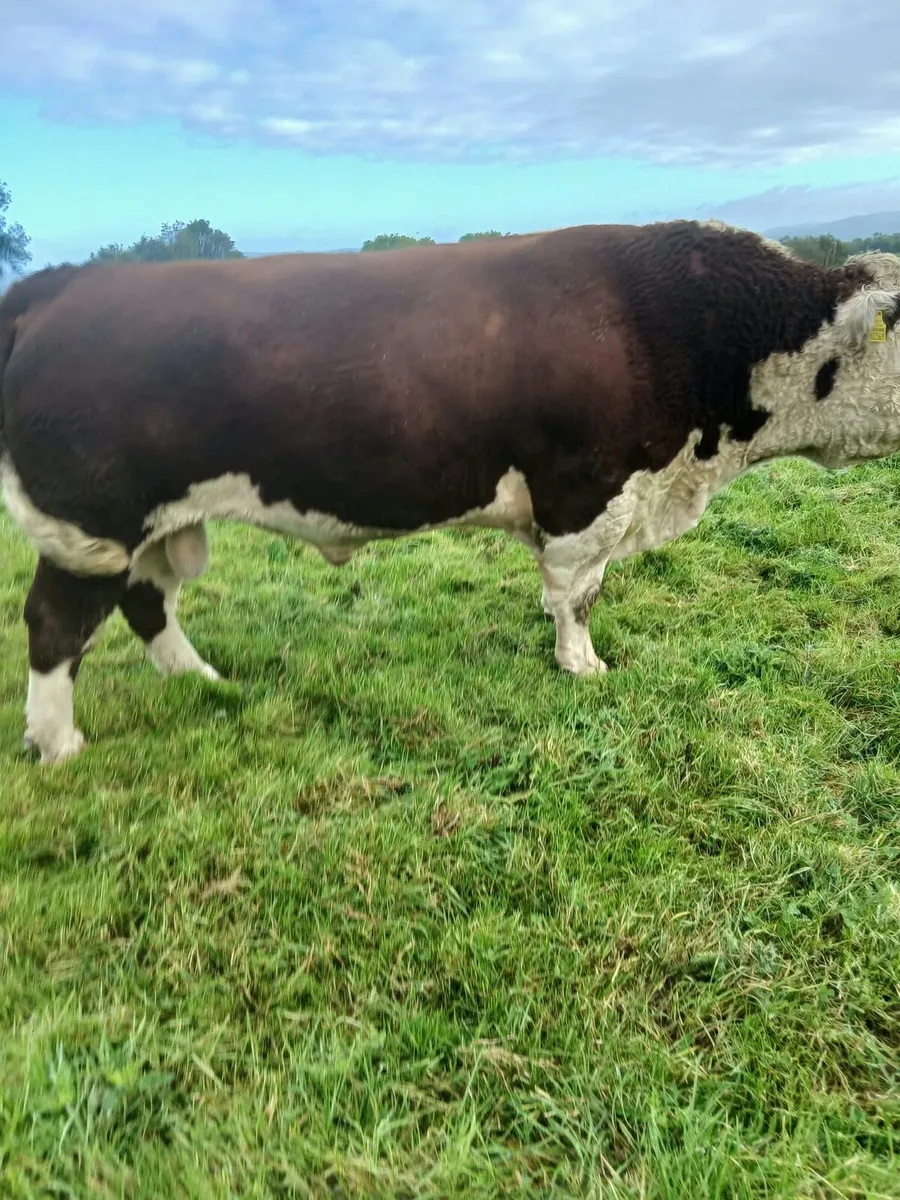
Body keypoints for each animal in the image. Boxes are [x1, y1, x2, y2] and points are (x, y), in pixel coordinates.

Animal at [2, 218, 900, 765]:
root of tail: (64, 287)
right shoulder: (588, 492)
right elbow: (579, 594)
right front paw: (582, 667)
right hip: (93, 521)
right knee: (56, 624)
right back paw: (59, 746)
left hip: (154, 525)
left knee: (148, 601)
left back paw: (199, 681)